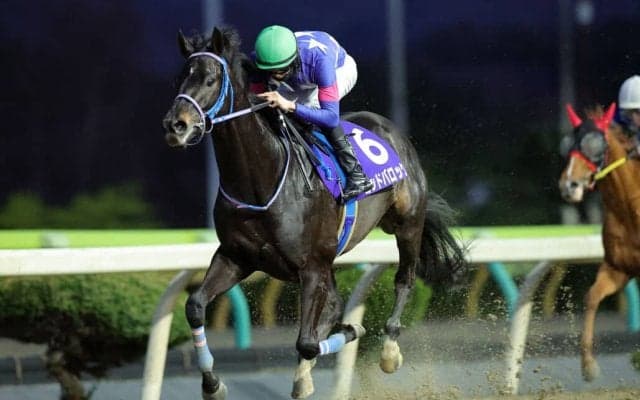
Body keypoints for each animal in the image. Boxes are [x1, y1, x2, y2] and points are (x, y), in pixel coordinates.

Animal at [162, 27, 466, 400]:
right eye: (180, 77)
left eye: (210, 79)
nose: (175, 125)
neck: (262, 179)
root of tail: (391, 130)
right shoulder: (237, 257)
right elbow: (194, 307)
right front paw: (212, 384)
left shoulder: (312, 267)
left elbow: (307, 342)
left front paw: (353, 331)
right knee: (334, 302)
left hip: (407, 225)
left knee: (404, 279)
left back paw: (389, 350)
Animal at [558, 102, 640, 381]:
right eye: (568, 145)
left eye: (598, 146)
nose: (569, 186)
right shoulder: (618, 268)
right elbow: (592, 297)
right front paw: (588, 365)